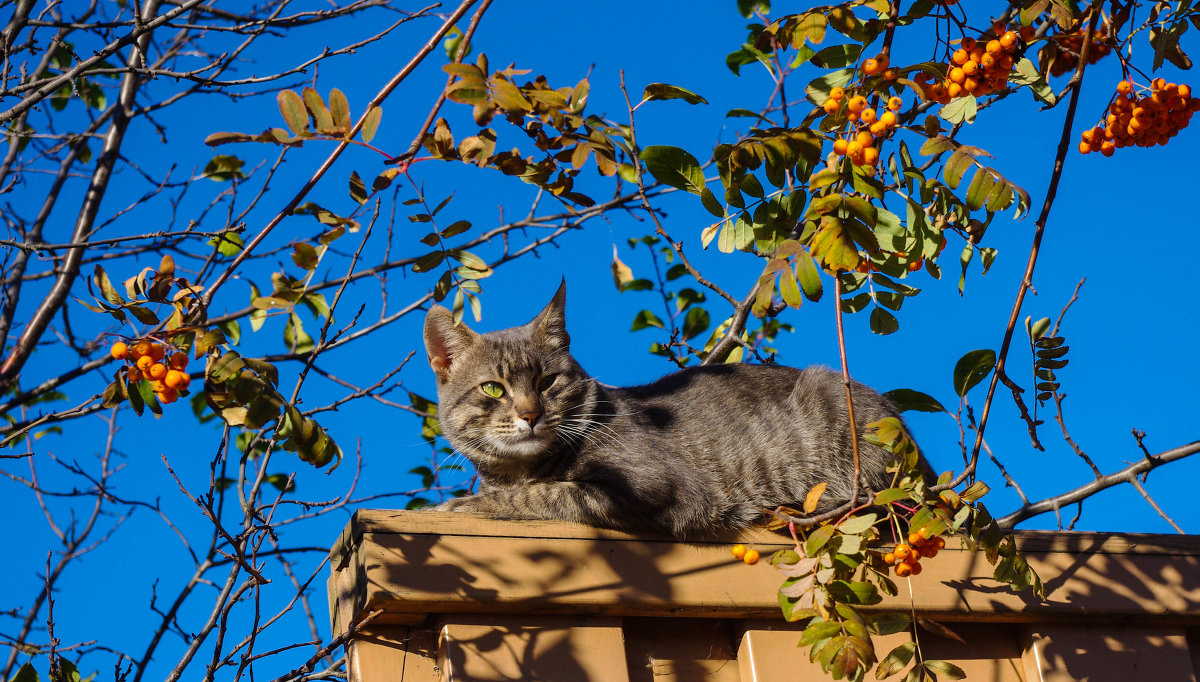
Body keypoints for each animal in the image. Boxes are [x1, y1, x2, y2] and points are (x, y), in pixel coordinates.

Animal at [424, 282, 936, 537]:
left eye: (548, 382)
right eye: (493, 389)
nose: (531, 415)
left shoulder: (651, 488)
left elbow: (546, 493)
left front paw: (460, 504)